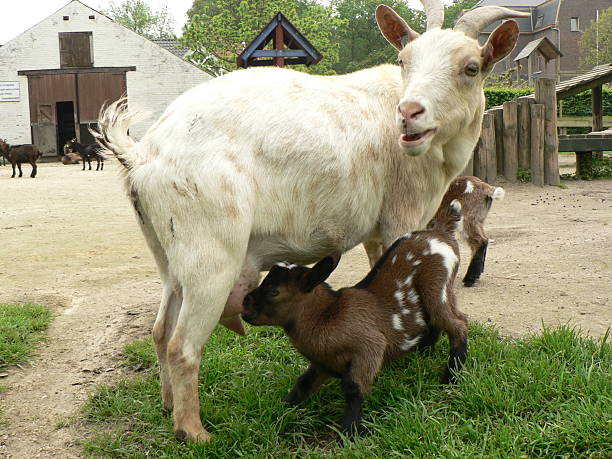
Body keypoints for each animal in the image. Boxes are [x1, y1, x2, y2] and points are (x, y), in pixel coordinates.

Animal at [93, 0, 528, 446]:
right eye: (404, 60)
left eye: (471, 67)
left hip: (167, 255)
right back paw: (194, 432)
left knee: (160, 331)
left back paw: (167, 406)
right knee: (182, 345)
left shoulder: (377, 233)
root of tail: (143, 153)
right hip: (210, 255)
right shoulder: (401, 215)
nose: (409, 114)